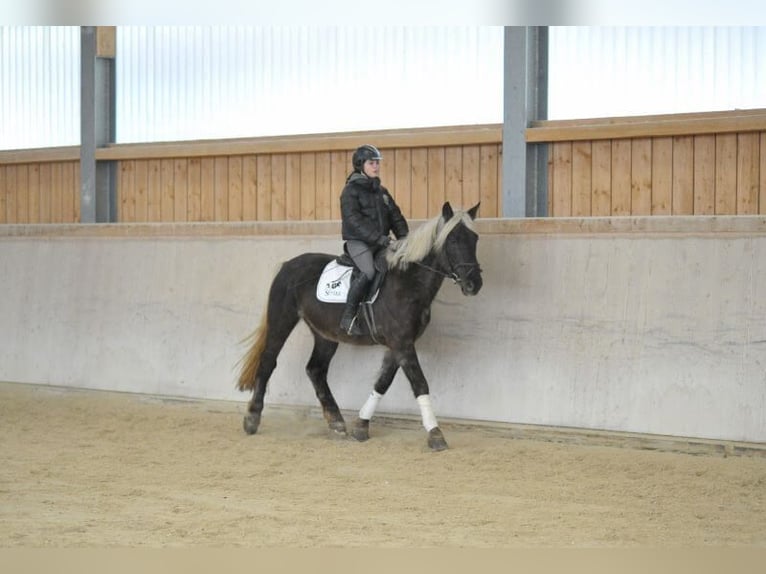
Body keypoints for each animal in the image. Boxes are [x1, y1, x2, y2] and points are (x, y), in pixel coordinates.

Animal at [237, 200, 484, 452]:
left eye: (474, 239)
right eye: (453, 240)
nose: (474, 284)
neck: (407, 283)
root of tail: (288, 265)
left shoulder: (399, 344)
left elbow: (383, 382)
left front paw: (361, 426)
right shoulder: (402, 343)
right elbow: (420, 383)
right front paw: (435, 434)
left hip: (326, 334)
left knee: (315, 369)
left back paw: (336, 422)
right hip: (282, 320)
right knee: (268, 361)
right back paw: (252, 419)